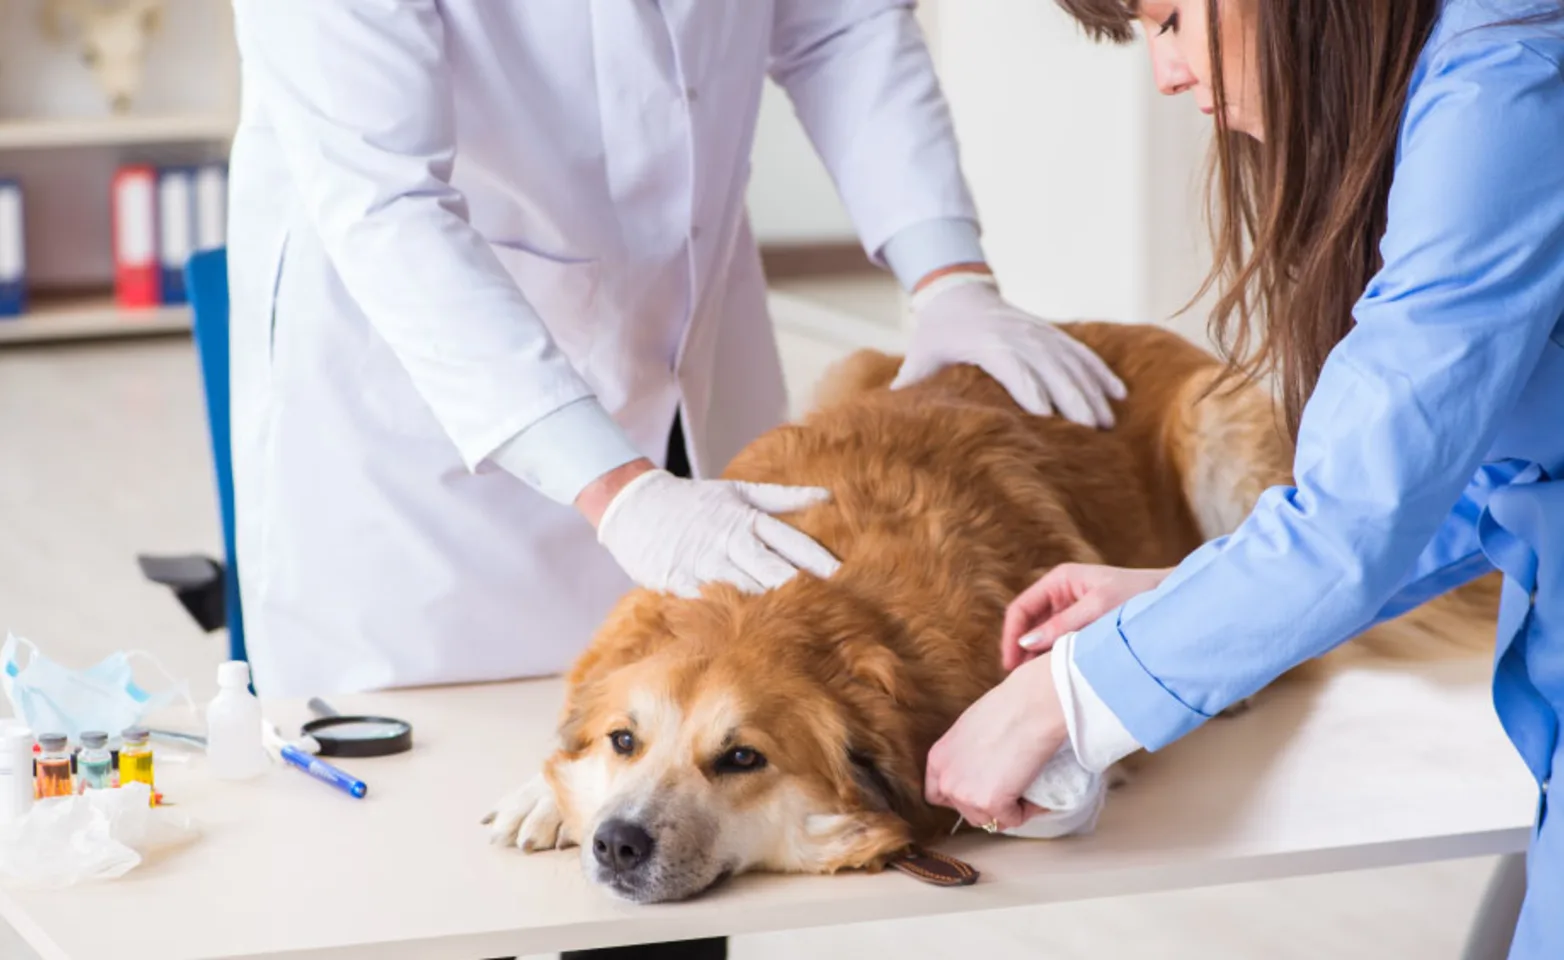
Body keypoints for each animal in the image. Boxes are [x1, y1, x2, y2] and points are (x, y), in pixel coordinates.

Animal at [481, 322, 1495, 900]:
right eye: (624, 741)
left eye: (742, 758)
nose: (617, 843)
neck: (789, 603)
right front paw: (543, 793)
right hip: (857, 364)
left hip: (1225, 428)